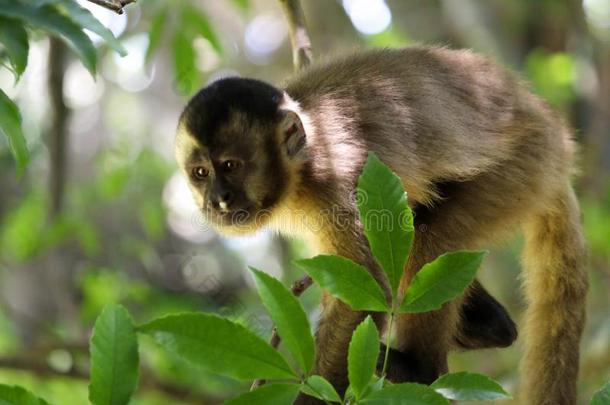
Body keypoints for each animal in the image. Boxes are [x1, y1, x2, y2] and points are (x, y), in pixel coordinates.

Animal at [175, 45, 584, 404]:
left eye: (231, 166)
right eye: (201, 173)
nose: (218, 199)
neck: (302, 166)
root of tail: (556, 138)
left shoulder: (338, 179)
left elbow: (364, 292)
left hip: (521, 170)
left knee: (434, 235)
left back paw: (420, 369)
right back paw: (489, 327)